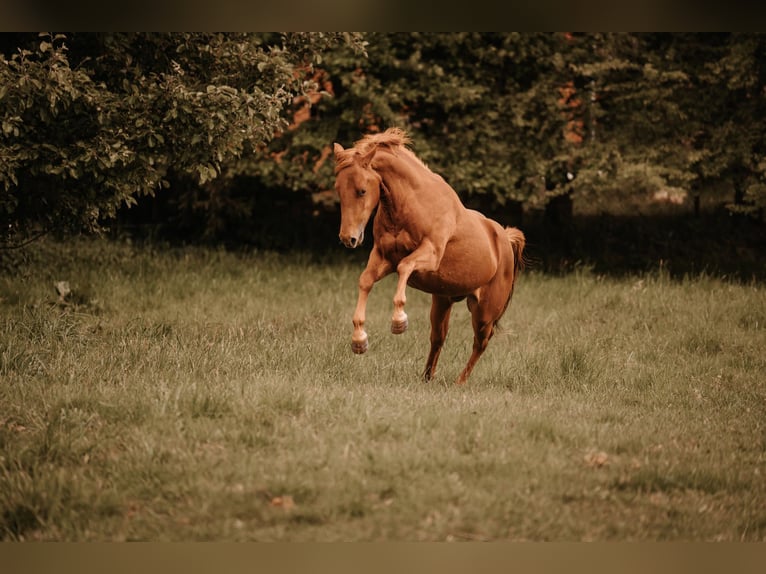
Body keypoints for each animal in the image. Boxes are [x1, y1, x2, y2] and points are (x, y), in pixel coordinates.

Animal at [333, 127, 525, 385]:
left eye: (362, 190)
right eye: (338, 190)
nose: (348, 238)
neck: (412, 203)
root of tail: (504, 238)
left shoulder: (429, 255)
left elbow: (405, 266)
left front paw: (399, 322)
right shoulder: (383, 257)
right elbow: (365, 281)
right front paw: (359, 341)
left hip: (484, 312)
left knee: (481, 342)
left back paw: (459, 382)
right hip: (443, 301)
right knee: (438, 338)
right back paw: (426, 377)